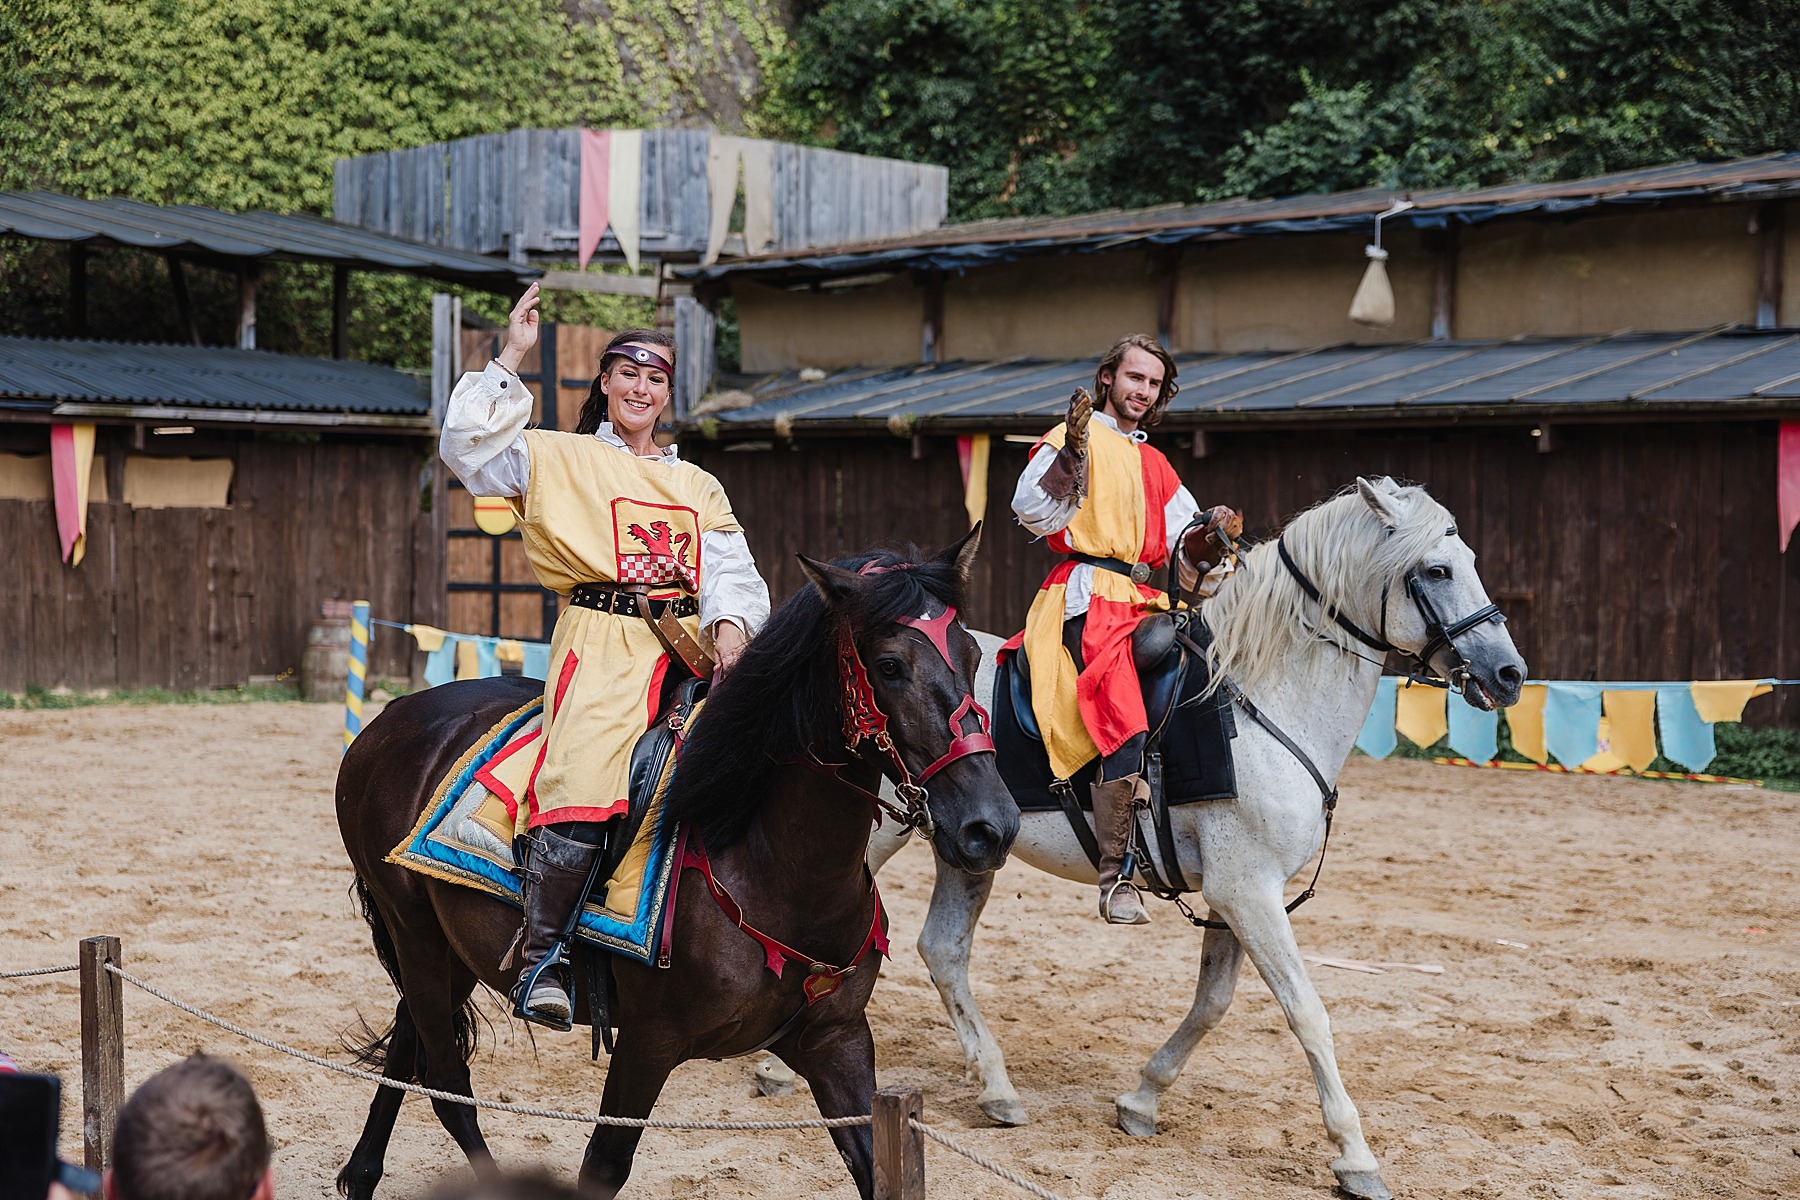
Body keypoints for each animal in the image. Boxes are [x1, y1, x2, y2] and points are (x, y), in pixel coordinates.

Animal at [334, 536, 1015, 1200]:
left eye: (972, 658)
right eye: (890, 665)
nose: (990, 826)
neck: (770, 865)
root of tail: (391, 720)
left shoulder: (837, 1040)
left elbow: (878, 1166)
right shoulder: (647, 1043)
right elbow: (602, 1167)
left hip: (448, 951)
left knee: (410, 1050)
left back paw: (361, 1174)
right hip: (415, 932)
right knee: (448, 1084)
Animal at [756, 478, 1519, 1200]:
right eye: (1438, 570)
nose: (1508, 673)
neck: (1260, 696)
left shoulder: (1238, 894)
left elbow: (1212, 1004)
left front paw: (1143, 1098)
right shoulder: (1248, 892)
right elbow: (1307, 1012)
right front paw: (1355, 1157)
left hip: (969, 846)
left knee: (943, 949)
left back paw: (997, 1089)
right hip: (875, 836)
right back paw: (775, 1062)